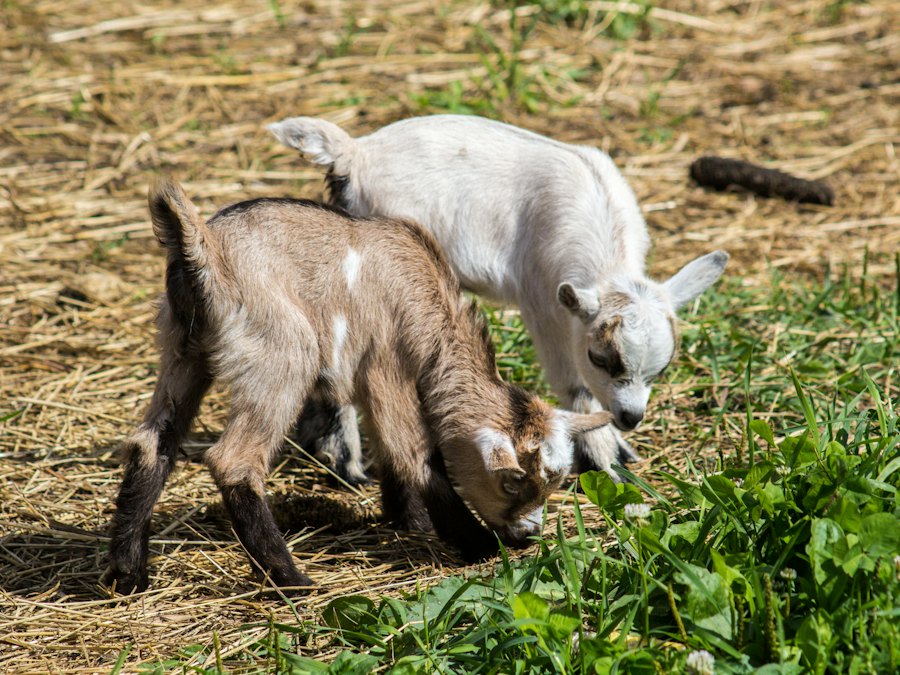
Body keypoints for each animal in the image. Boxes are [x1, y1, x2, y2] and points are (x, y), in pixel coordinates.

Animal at [104, 177, 612, 595]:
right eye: (511, 482)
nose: (528, 535)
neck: (426, 297)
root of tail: (204, 248)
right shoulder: (386, 364)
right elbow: (414, 454)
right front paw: (478, 546)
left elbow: (389, 452)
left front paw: (409, 520)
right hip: (280, 355)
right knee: (234, 460)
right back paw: (292, 580)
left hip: (183, 351)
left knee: (152, 443)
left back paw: (128, 574)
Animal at [269, 114, 728, 480]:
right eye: (600, 358)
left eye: (662, 368)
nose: (631, 417)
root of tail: (354, 153)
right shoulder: (543, 300)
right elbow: (574, 384)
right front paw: (604, 458)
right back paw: (348, 461)